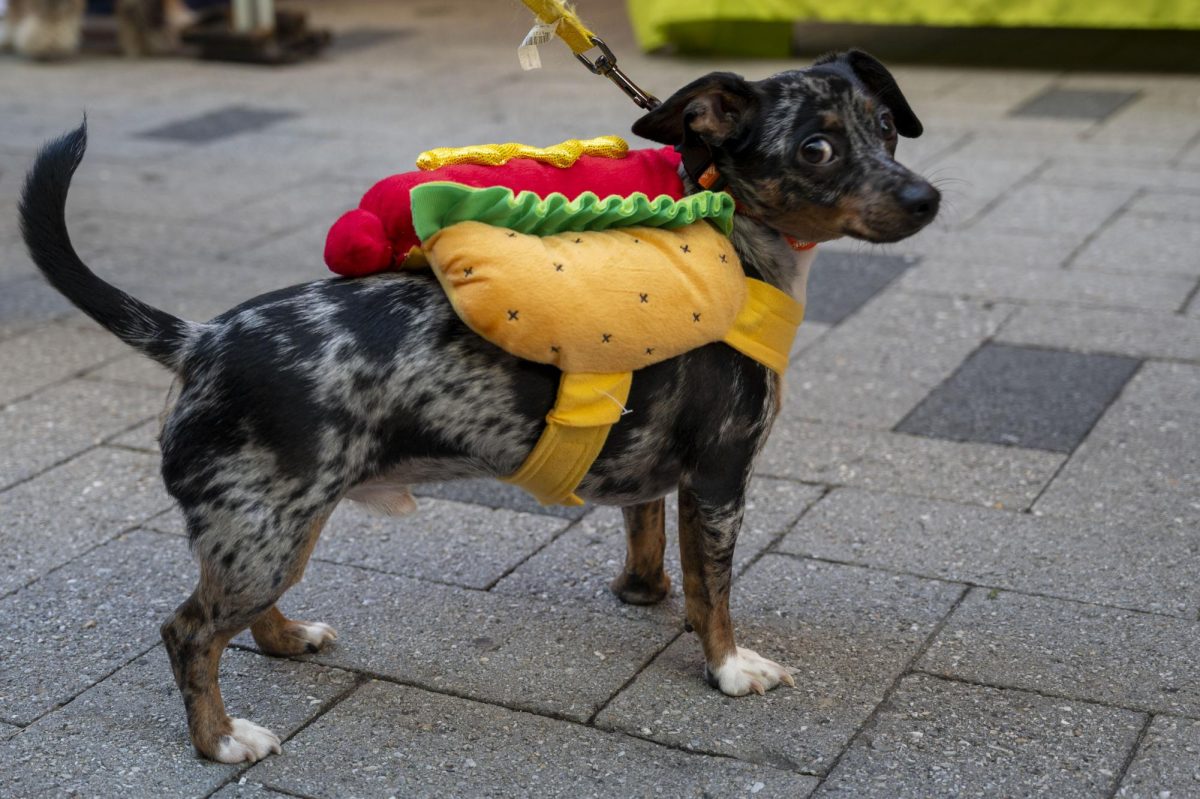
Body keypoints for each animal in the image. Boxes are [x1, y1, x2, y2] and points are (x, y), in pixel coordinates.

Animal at [21, 48, 936, 758]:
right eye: (816, 147)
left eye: (885, 127)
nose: (926, 197)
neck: (741, 247)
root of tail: (199, 337)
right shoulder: (719, 477)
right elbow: (717, 589)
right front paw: (729, 666)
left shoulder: (652, 466)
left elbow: (649, 537)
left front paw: (644, 594)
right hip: (264, 531)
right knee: (189, 632)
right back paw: (219, 739)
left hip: (278, 524)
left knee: (235, 614)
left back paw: (286, 640)